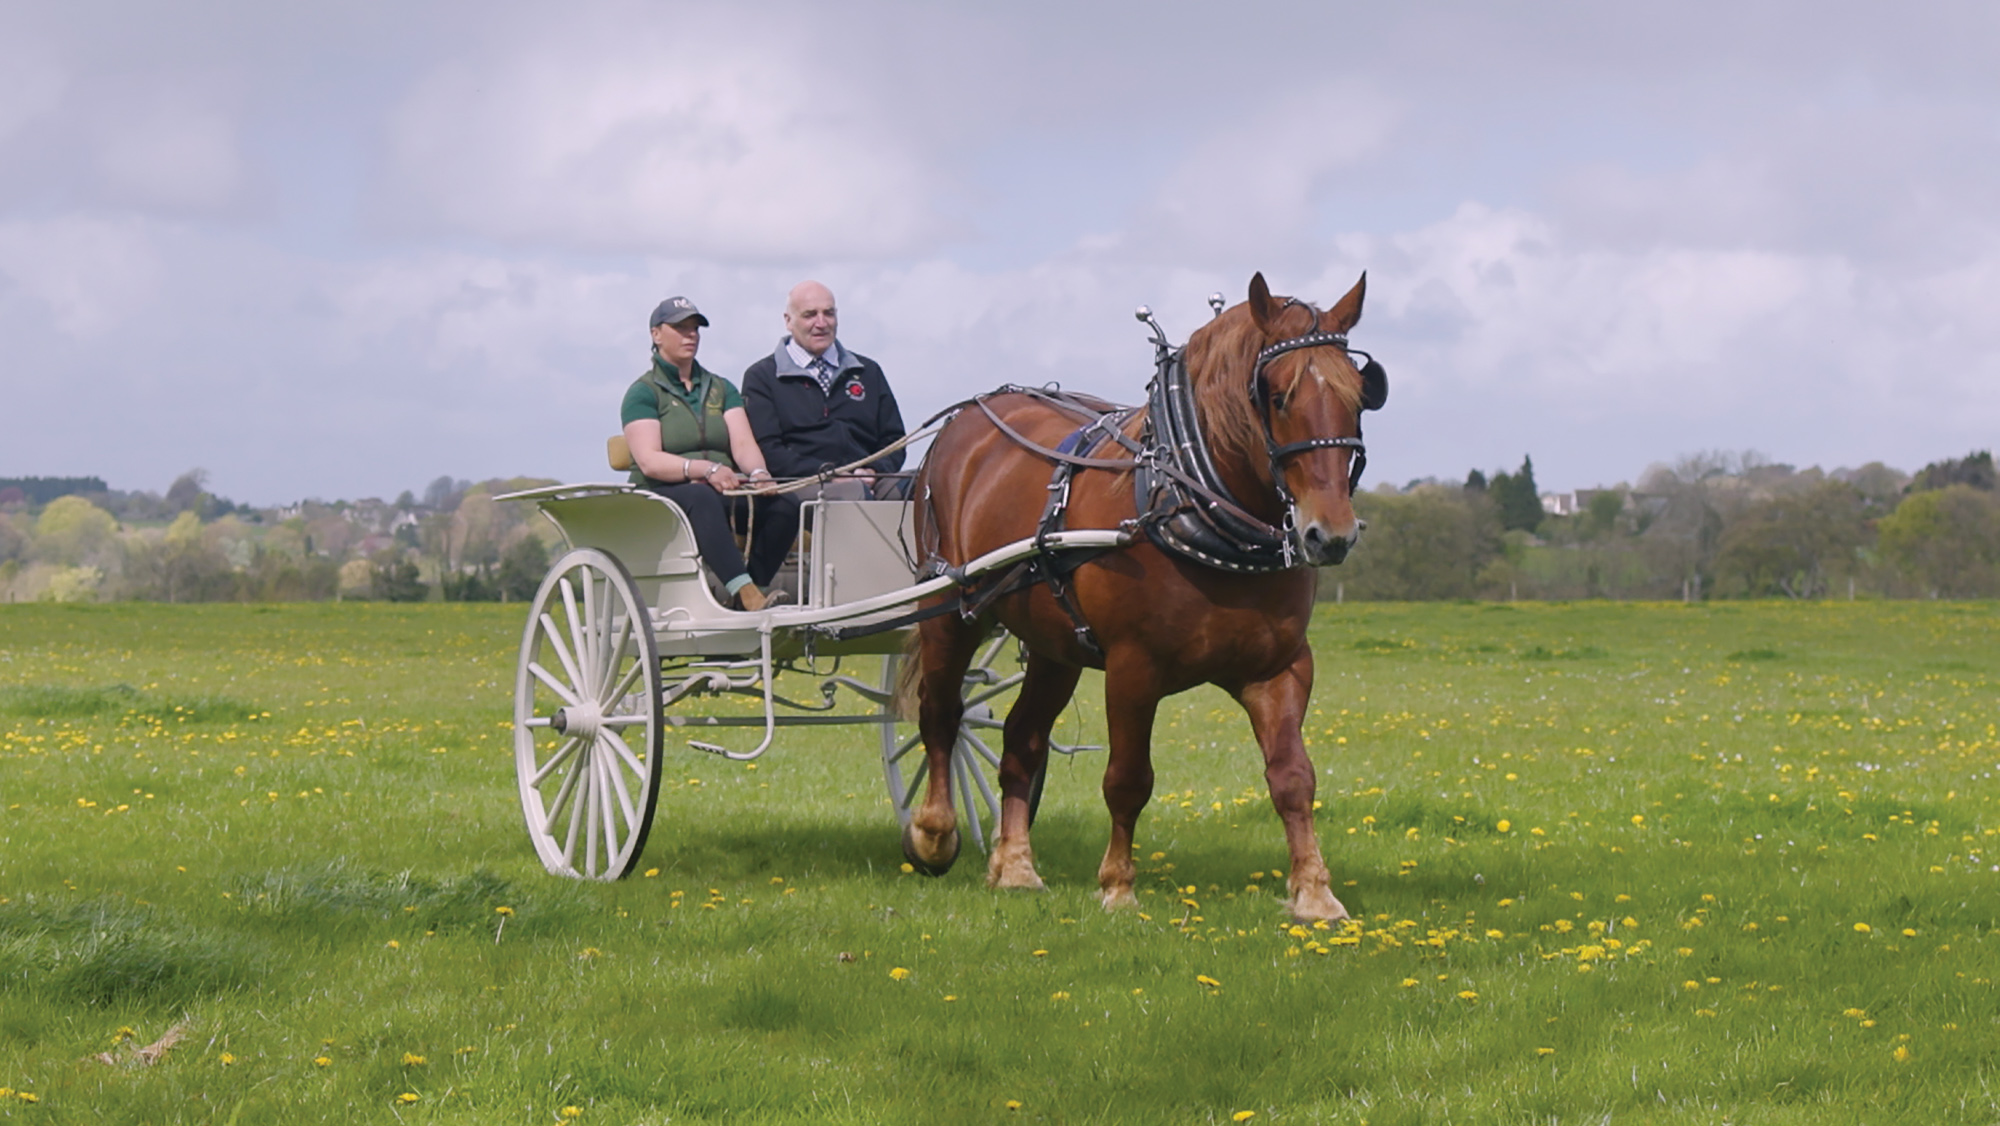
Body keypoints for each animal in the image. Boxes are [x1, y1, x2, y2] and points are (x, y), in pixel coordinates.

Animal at [902, 272, 1379, 922]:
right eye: (1277, 396)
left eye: (1360, 394)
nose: (1330, 535)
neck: (1189, 503)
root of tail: (967, 419)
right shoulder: (1134, 667)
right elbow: (1128, 779)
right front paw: (1117, 885)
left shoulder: (1280, 668)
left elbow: (1293, 777)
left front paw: (1314, 890)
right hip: (951, 611)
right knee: (942, 716)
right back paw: (934, 833)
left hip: (1054, 645)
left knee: (1023, 738)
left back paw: (1016, 866)